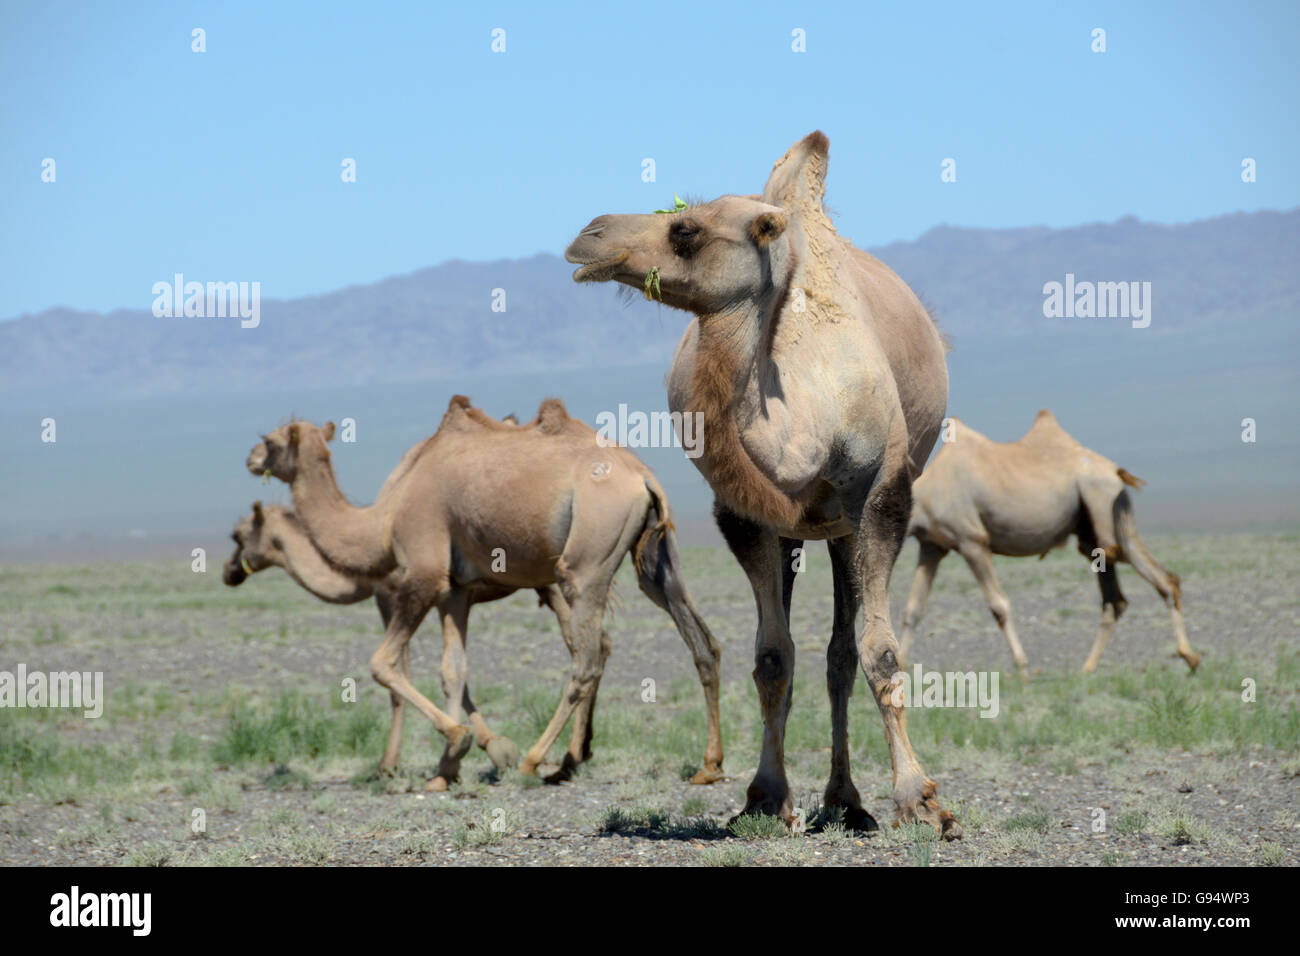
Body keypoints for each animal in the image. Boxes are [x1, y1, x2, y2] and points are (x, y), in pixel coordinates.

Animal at [244, 395, 722, 785]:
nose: (250, 457)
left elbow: (383, 664)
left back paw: (537, 761)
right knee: (701, 640)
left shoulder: (422, 573)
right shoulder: (455, 590)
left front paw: (458, 744)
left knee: (587, 659)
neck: (384, 515)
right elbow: (453, 670)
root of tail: (642, 478)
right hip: (652, 557)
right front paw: (447, 768)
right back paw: (707, 765)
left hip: (583, 562)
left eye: (269, 440)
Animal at [564, 128, 961, 837]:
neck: (806, 418)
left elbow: (882, 651)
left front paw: (921, 800)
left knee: (842, 653)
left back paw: (850, 801)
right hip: (808, 530)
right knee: (823, 654)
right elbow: (772, 657)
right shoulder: (744, 516)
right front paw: (764, 797)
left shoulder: (882, 499)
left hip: (843, 525)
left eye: (686, 229)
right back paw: (841, 798)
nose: (589, 234)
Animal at [899, 408, 1201, 671]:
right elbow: (913, 610)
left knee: (1159, 579)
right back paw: (1086, 669)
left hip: (1105, 509)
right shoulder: (932, 546)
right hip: (1092, 535)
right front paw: (897, 669)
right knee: (1116, 600)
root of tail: (1116, 472)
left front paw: (1023, 669)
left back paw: (1190, 657)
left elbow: (999, 606)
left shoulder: (971, 541)